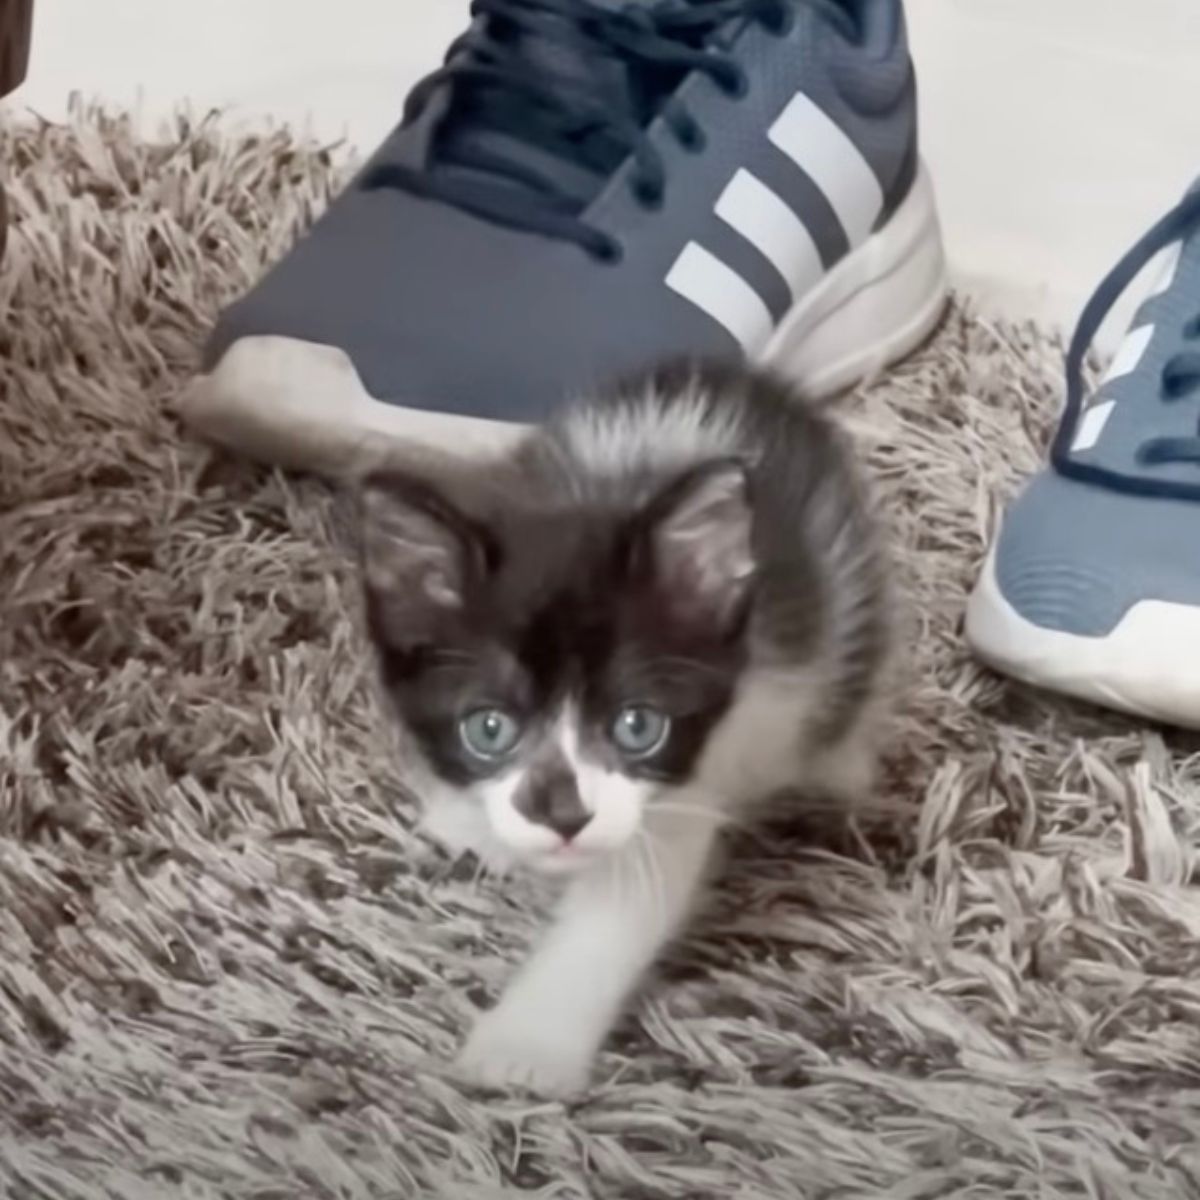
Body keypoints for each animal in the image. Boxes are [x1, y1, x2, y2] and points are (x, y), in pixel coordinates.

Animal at [355, 357, 892, 1099]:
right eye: (488, 729)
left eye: (638, 726)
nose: (561, 815)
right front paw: (469, 820)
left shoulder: (693, 779)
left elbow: (627, 906)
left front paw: (527, 1048)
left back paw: (842, 767)